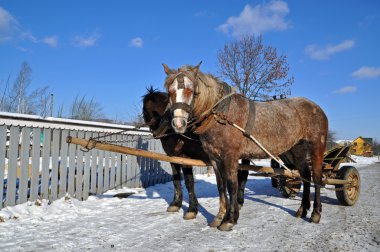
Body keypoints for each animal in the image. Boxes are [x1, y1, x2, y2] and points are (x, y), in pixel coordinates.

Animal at [141, 87, 251, 220]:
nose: (156, 133)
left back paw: (239, 201)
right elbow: (176, 180)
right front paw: (175, 204)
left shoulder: (185, 158)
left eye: (145, 111)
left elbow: (189, 182)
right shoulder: (173, 158)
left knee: (243, 174)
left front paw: (192, 209)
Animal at [163, 63, 330, 230]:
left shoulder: (230, 156)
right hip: (297, 149)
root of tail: (317, 108)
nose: (178, 124)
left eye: (190, 90)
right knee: (305, 175)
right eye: (170, 92)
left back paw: (316, 213)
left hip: (317, 146)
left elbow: (232, 185)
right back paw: (302, 209)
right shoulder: (214, 158)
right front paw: (219, 217)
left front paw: (230, 219)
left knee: (316, 177)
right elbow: (221, 185)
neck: (223, 115)